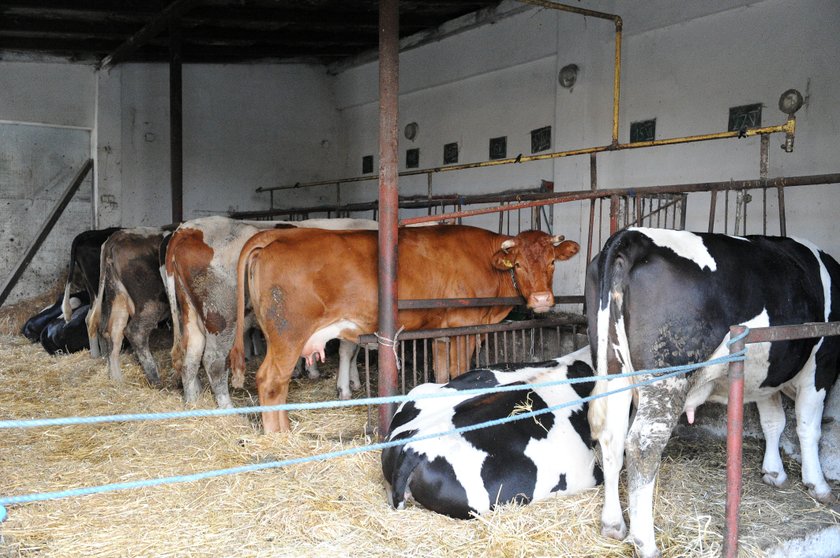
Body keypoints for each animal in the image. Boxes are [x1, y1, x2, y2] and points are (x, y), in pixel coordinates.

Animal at [88, 228, 171, 384]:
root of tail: (117, 236)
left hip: (117, 295)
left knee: (113, 332)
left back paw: (117, 380)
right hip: (151, 302)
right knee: (136, 332)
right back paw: (155, 379)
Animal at [228, 225, 576, 436]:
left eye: (552, 263)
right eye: (517, 265)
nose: (542, 299)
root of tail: (278, 235)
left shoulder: (442, 331)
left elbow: (444, 373)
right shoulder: (463, 326)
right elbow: (460, 371)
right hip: (287, 334)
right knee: (271, 380)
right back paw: (280, 434)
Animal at [584, 229, 840, 558]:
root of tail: (633, 235)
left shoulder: (765, 376)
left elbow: (773, 422)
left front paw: (774, 473)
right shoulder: (823, 363)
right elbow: (809, 428)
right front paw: (818, 485)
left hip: (614, 370)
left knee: (611, 439)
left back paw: (613, 524)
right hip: (667, 374)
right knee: (642, 446)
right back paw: (646, 543)